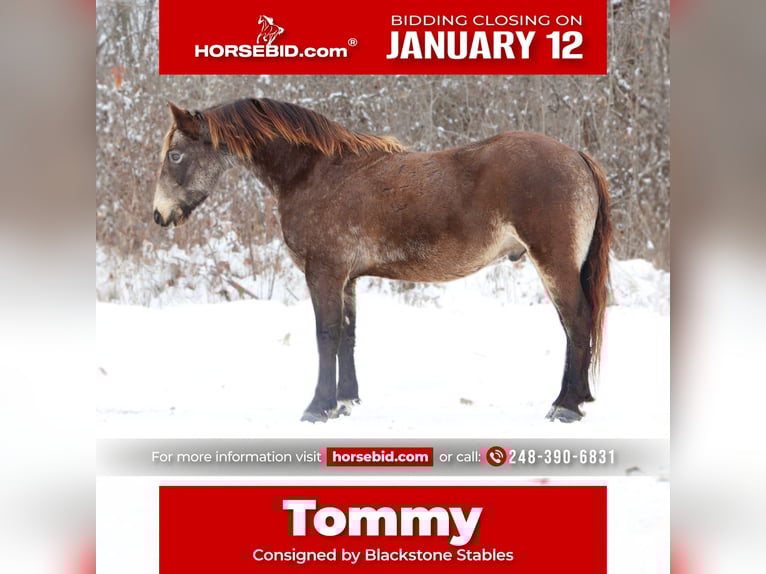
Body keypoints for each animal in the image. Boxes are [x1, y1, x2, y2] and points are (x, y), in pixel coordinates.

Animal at [152, 98, 612, 424]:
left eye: (175, 155)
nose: (159, 215)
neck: (315, 172)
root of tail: (576, 155)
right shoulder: (347, 278)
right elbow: (348, 336)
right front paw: (345, 402)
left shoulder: (324, 273)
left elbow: (326, 335)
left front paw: (318, 407)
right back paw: (576, 398)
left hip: (553, 264)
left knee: (576, 322)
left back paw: (566, 406)